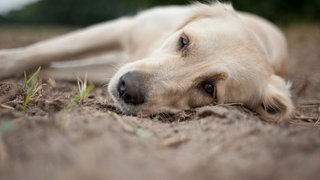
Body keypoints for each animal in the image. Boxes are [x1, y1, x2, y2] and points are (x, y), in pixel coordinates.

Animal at [0, 1, 292, 122]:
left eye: (209, 88)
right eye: (183, 41)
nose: (127, 88)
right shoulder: (123, 27)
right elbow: (41, 51)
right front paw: (8, 62)